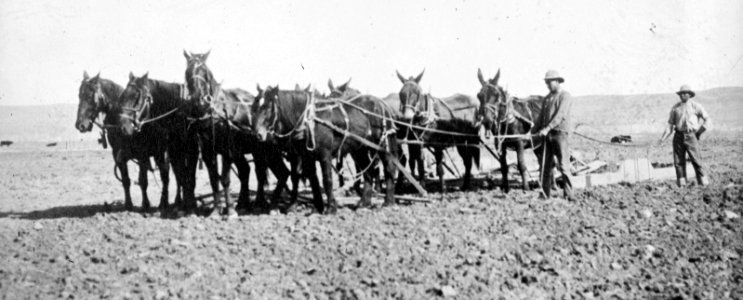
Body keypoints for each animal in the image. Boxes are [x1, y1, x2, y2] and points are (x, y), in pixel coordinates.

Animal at [75, 71, 177, 210]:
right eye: (79, 95)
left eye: (90, 96)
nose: (80, 125)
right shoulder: (118, 155)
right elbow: (125, 180)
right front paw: (128, 204)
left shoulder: (142, 155)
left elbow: (143, 181)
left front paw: (146, 204)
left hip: (163, 153)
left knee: (169, 176)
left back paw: (168, 202)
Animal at [116, 72, 199, 213]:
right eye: (122, 96)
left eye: (137, 97)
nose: (123, 127)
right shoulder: (152, 153)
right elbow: (150, 178)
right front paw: (154, 204)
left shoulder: (183, 151)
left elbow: (180, 176)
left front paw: (186, 204)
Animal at [183, 50, 290, 214]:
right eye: (188, 72)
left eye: (205, 72)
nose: (198, 99)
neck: (215, 112)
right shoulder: (208, 152)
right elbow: (214, 179)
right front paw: (216, 210)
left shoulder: (227, 149)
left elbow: (225, 179)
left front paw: (230, 210)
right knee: (248, 170)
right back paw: (244, 203)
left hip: (265, 150)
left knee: (268, 173)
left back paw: (261, 203)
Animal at [253, 86, 402, 213]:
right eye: (255, 107)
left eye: (267, 107)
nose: (257, 134)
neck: (310, 120)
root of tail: (383, 104)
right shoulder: (306, 156)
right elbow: (313, 180)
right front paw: (318, 206)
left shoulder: (325, 154)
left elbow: (327, 179)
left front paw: (331, 208)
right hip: (360, 149)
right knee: (368, 172)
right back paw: (364, 203)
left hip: (383, 144)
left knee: (388, 168)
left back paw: (388, 202)